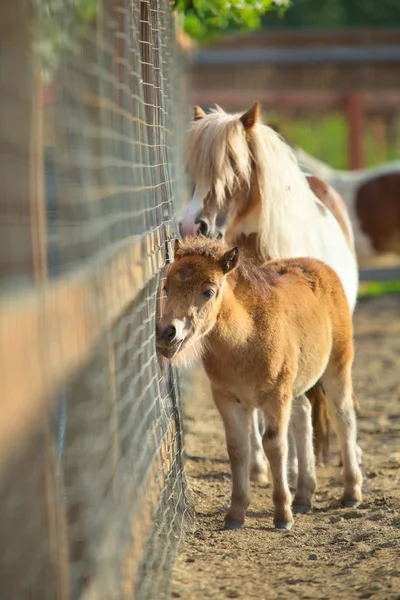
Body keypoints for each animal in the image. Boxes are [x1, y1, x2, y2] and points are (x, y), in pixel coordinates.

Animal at [156, 238, 362, 528]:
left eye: (208, 292)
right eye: (166, 287)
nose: (166, 333)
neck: (245, 339)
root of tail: (318, 265)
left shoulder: (275, 397)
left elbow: (275, 446)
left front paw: (282, 515)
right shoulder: (227, 398)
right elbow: (237, 448)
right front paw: (235, 513)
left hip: (337, 366)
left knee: (342, 418)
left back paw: (351, 492)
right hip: (295, 385)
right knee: (303, 416)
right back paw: (304, 495)